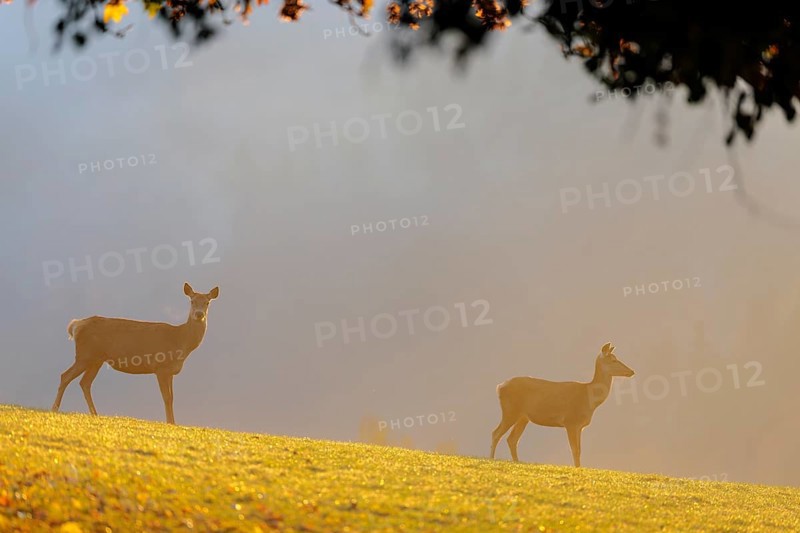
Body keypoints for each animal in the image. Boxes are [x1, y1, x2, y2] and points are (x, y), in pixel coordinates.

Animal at [51, 283, 219, 425]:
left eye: (207, 302)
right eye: (192, 301)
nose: (199, 314)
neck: (180, 341)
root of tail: (75, 325)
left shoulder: (170, 371)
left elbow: (172, 398)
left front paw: (173, 422)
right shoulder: (161, 367)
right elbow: (166, 397)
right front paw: (170, 423)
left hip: (96, 359)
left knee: (84, 383)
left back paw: (94, 414)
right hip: (85, 355)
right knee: (65, 376)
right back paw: (54, 409)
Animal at [490, 342, 634, 467]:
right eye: (613, 360)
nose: (632, 371)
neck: (588, 399)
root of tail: (499, 386)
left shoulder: (579, 426)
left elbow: (580, 450)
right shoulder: (570, 421)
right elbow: (575, 450)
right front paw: (577, 468)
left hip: (523, 417)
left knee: (512, 439)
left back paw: (517, 462)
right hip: (510, 411)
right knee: (496, 433)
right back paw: (491, 459)